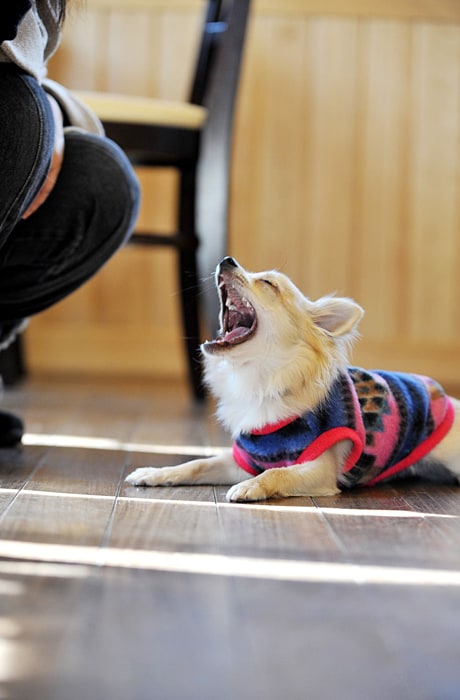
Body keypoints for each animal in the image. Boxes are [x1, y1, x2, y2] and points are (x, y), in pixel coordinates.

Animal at [126, 260, 460, 500]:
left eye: (268, 284)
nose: (226, 260)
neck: (258, 380)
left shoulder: (318, 468)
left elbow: (277, 474)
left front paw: (251, 487)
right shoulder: (243, 460)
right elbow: (197, 464)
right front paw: (155, 473)